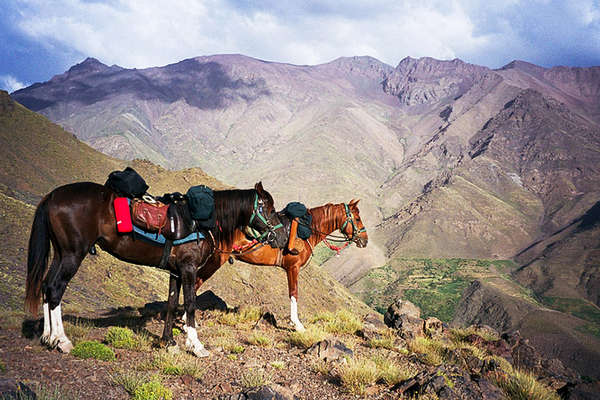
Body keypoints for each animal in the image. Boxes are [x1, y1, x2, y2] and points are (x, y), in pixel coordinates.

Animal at [25, 181, 284, 356]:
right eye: (269, 208)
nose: (280, 237)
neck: (200, 221)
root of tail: (52, 196)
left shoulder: (176, 271)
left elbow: (171, 303)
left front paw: (168, 342)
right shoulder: (188, 269)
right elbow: (190, 304)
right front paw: (196, 345)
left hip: (60, 253)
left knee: (47, 286)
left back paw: (47, 337)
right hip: (72, 254)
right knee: (56, 289)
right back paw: (61, 340)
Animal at [183, 200, 368, 332]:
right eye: (357, 219)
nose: (365, 240)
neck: (307, 229)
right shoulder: (293, 268)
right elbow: (294, 293)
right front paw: (297, 324)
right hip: (215, 260)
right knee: (196, 283)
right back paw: (187, 322)